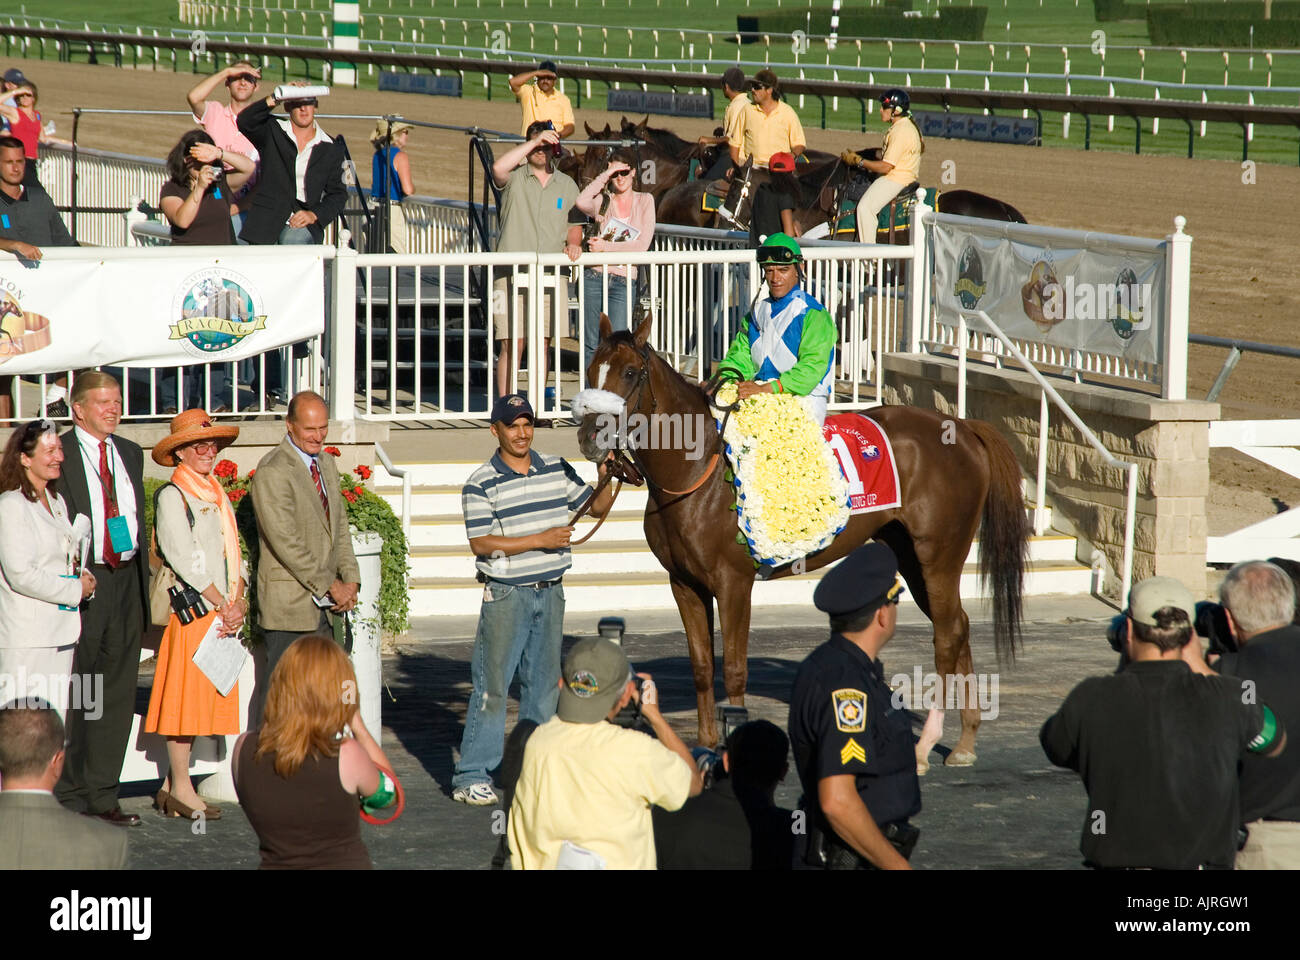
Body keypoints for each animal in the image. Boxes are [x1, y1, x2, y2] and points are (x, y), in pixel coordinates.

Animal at [574, 316, 1029, 770]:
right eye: (592, 368)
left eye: (629, 372)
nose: (589, 438)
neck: (698, 469)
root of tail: (963, 428)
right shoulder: (683, 584)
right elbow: (702, 667)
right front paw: (702, 745)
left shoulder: (733, 584)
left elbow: (734, 668)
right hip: (910, 555)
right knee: (958, 624)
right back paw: (965, 741)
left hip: (939, 555)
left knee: (947, 635)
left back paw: (922, 751)